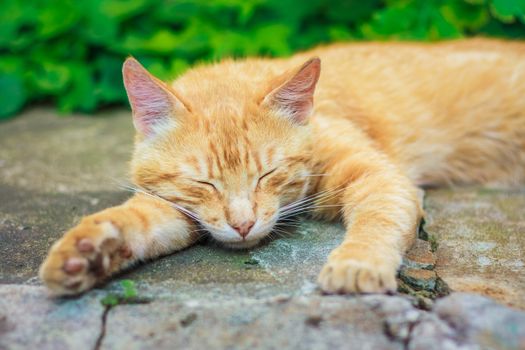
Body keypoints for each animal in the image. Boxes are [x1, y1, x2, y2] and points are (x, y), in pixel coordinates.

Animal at [40, 38, 524, 296]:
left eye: (267, 174)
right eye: (204, 183)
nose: (243, 225)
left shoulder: (381, 178)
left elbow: (379, 220)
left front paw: (358, 263)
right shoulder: (177, 207)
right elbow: (135, 222)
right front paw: (86, 254)